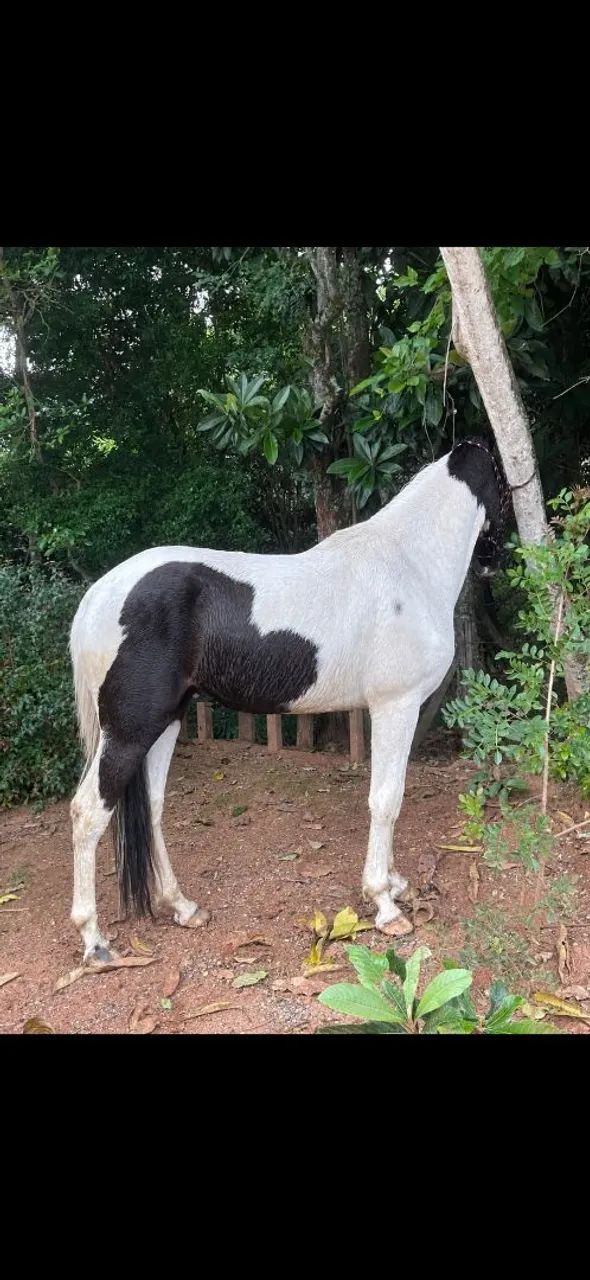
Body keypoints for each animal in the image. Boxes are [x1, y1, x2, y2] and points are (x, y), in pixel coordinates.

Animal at [69, 437, 507, 961]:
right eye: (502, 479)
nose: (495, 559)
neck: (408, 565)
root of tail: (97, 596)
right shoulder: (394, 706)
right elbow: (386, 800)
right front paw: (385, 904)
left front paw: (395, 883)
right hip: (129, 731)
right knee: (88, 813)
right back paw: (94, 940)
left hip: (166, 722)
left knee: (152, 808)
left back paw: (182, 906)